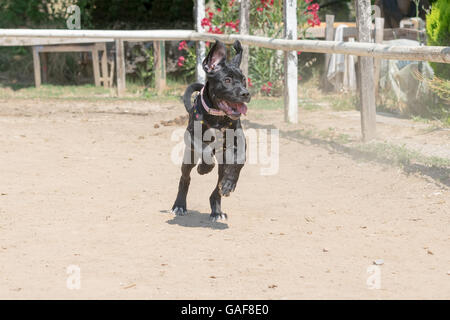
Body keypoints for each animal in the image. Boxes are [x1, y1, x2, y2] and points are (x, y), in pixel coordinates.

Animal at [171, 40, 251, 222]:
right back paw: (179, 205)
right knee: (185, 178)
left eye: (244, 80)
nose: (246, 93)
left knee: (217, 189)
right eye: (227, 80)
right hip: (189, 157)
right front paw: (204, 168)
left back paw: (217, 209)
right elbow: (206, 153)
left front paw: (229, 183)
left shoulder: (239, 142)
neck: (218, 118)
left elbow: (239, 160)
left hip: (224, 160)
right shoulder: (192, 137)